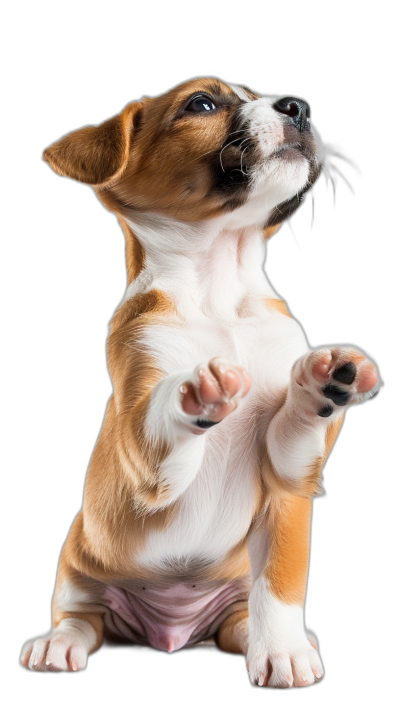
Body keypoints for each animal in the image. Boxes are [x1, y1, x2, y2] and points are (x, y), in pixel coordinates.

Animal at [20, 76, 380, 684]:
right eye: (202, 103)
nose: (300, 107)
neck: (221, 286)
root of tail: (170, 631)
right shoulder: (144, 450)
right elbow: (159, 416)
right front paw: (195, 390)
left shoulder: (289, 474)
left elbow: (280, 587)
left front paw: (324, 382)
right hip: (77, 566)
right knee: (81, 619)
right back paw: (57, 645)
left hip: (229, 604)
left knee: (242, 621)